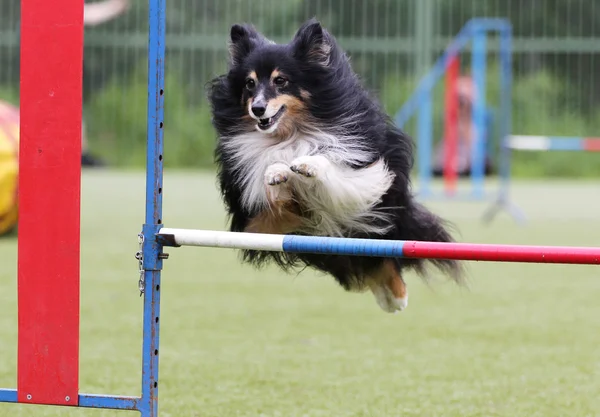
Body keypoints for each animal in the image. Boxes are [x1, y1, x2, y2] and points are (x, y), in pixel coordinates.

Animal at [207, 18, 464, 312]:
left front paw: (306, 165)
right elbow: (275, 189)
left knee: (384, 252)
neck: (290, 134)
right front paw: (277, 172)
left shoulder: (365, 175)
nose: (257, 109)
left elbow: (330, 166)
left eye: (281, 81)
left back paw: (396, 296)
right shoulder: (261, 223)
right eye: (249, 84)